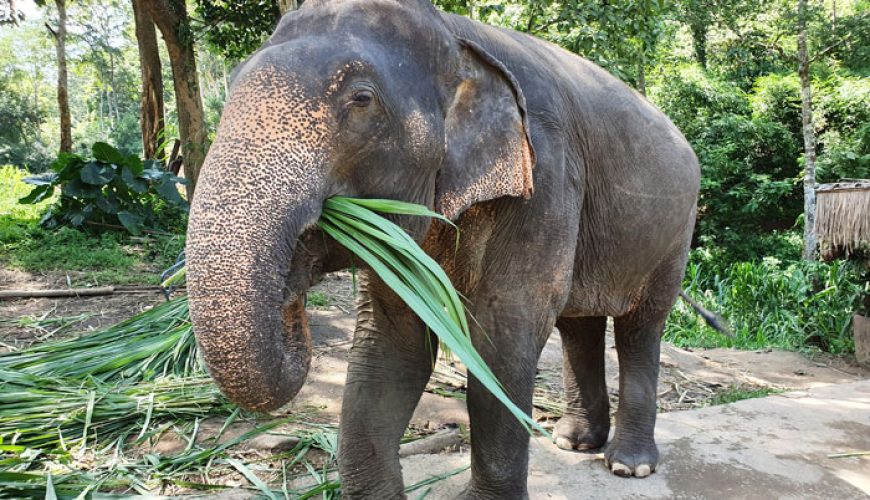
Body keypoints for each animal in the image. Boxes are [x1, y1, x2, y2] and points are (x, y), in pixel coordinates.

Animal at [185, 0, 700, 498]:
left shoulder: (547, 176)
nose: (291, 292)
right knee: (578, 323)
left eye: (362, 99)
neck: (456, 35)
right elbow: (392, 343)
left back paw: (629, 465)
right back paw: (573, 442)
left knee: (640, 326)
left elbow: (502, 338)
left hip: (676, 232)